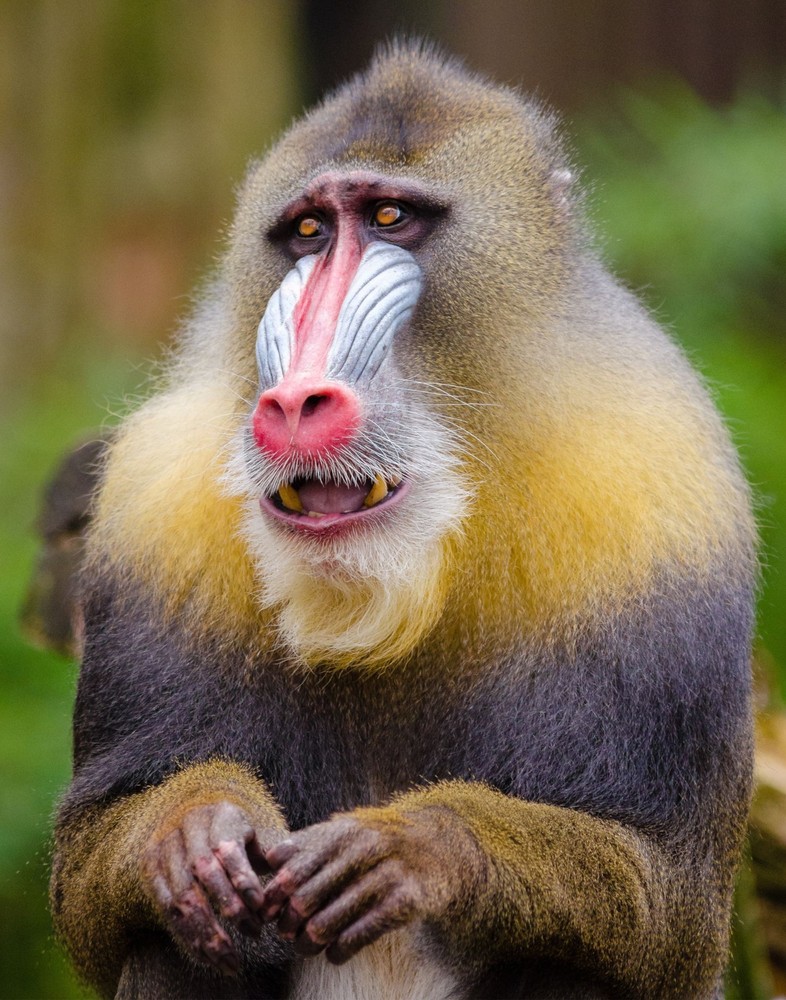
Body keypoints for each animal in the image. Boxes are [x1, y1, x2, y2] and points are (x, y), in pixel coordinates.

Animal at [50, 42, 757, 1000]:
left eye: (390, 217)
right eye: (309, 232)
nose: (294, 402)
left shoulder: (665, 499)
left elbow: (666, 898)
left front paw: (418, 847)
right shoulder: (151, 503)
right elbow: (90, 877)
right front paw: (195, 831)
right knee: (173, 942)